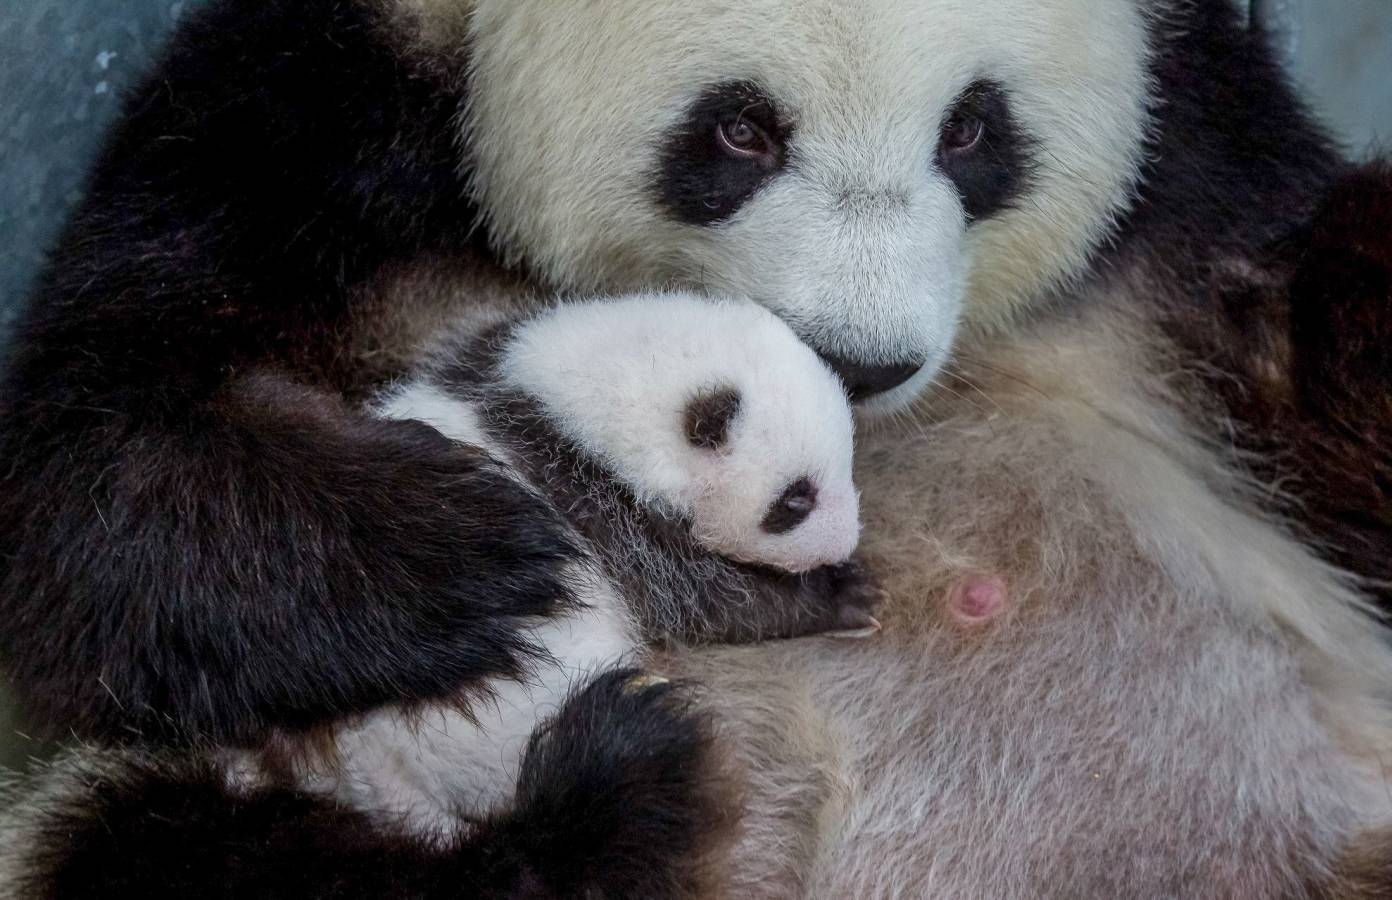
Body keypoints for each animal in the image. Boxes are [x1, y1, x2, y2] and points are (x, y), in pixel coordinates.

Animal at [2, 0, 1392, 895]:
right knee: (154, 851)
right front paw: (475, 556)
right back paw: (604, 809)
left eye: (973, 130)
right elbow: (90, 481)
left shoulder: (1194, 160)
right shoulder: (310, 129)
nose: (861, 360)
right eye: (740, 131)